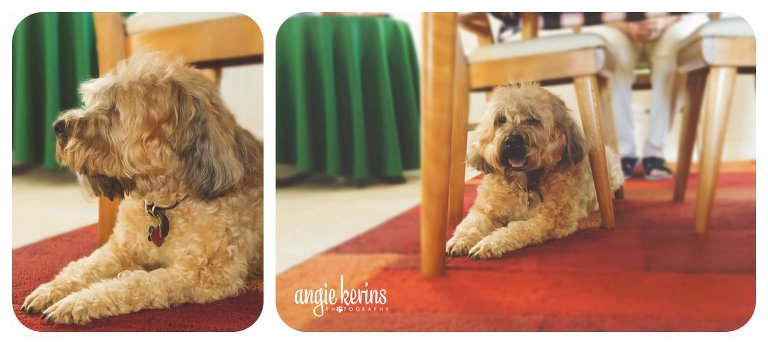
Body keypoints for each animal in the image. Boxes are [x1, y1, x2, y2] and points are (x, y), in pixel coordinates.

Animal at [20, 54, 264, 326]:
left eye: (115, 109)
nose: (58, 126)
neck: (163, 203)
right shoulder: (119, 249)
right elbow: (83, 266)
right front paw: (51, 290)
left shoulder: (205, 273)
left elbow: (135, 283)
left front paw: (76, 303)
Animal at [448, 83, 620, 260]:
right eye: (501, 119)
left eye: (532, 119)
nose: (512, 141)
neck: (524, 184)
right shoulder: (484, 210)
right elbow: (471, 223)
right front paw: (460, 240)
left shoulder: (551, 220)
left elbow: (518, 228)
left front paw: (490, 243)